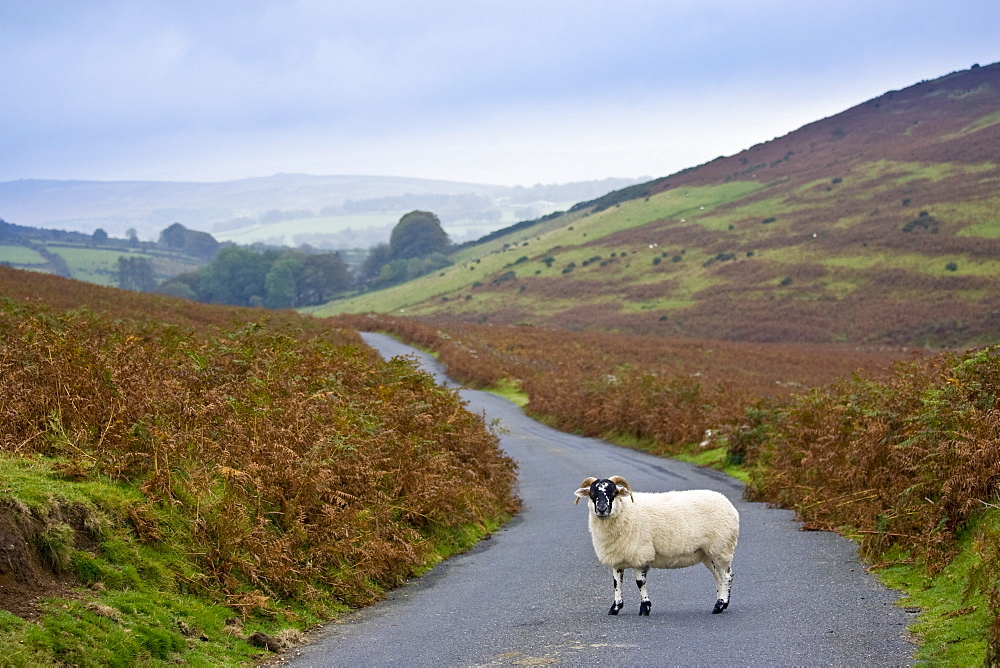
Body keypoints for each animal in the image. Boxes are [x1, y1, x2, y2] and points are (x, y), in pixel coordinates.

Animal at [576, 474, 740, 616]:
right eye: (592, 492)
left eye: (614, 492)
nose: (602, 509)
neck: (624, 510)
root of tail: (727, 502)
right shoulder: (617, 557)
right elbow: (617, 583)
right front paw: (615, 608)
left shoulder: (640, 554)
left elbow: (640, 582)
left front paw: (645, 608)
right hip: (707, 553)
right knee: (718, 577)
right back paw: (718, 604)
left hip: (721, 547)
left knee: (727, 575)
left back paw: (721, 604)